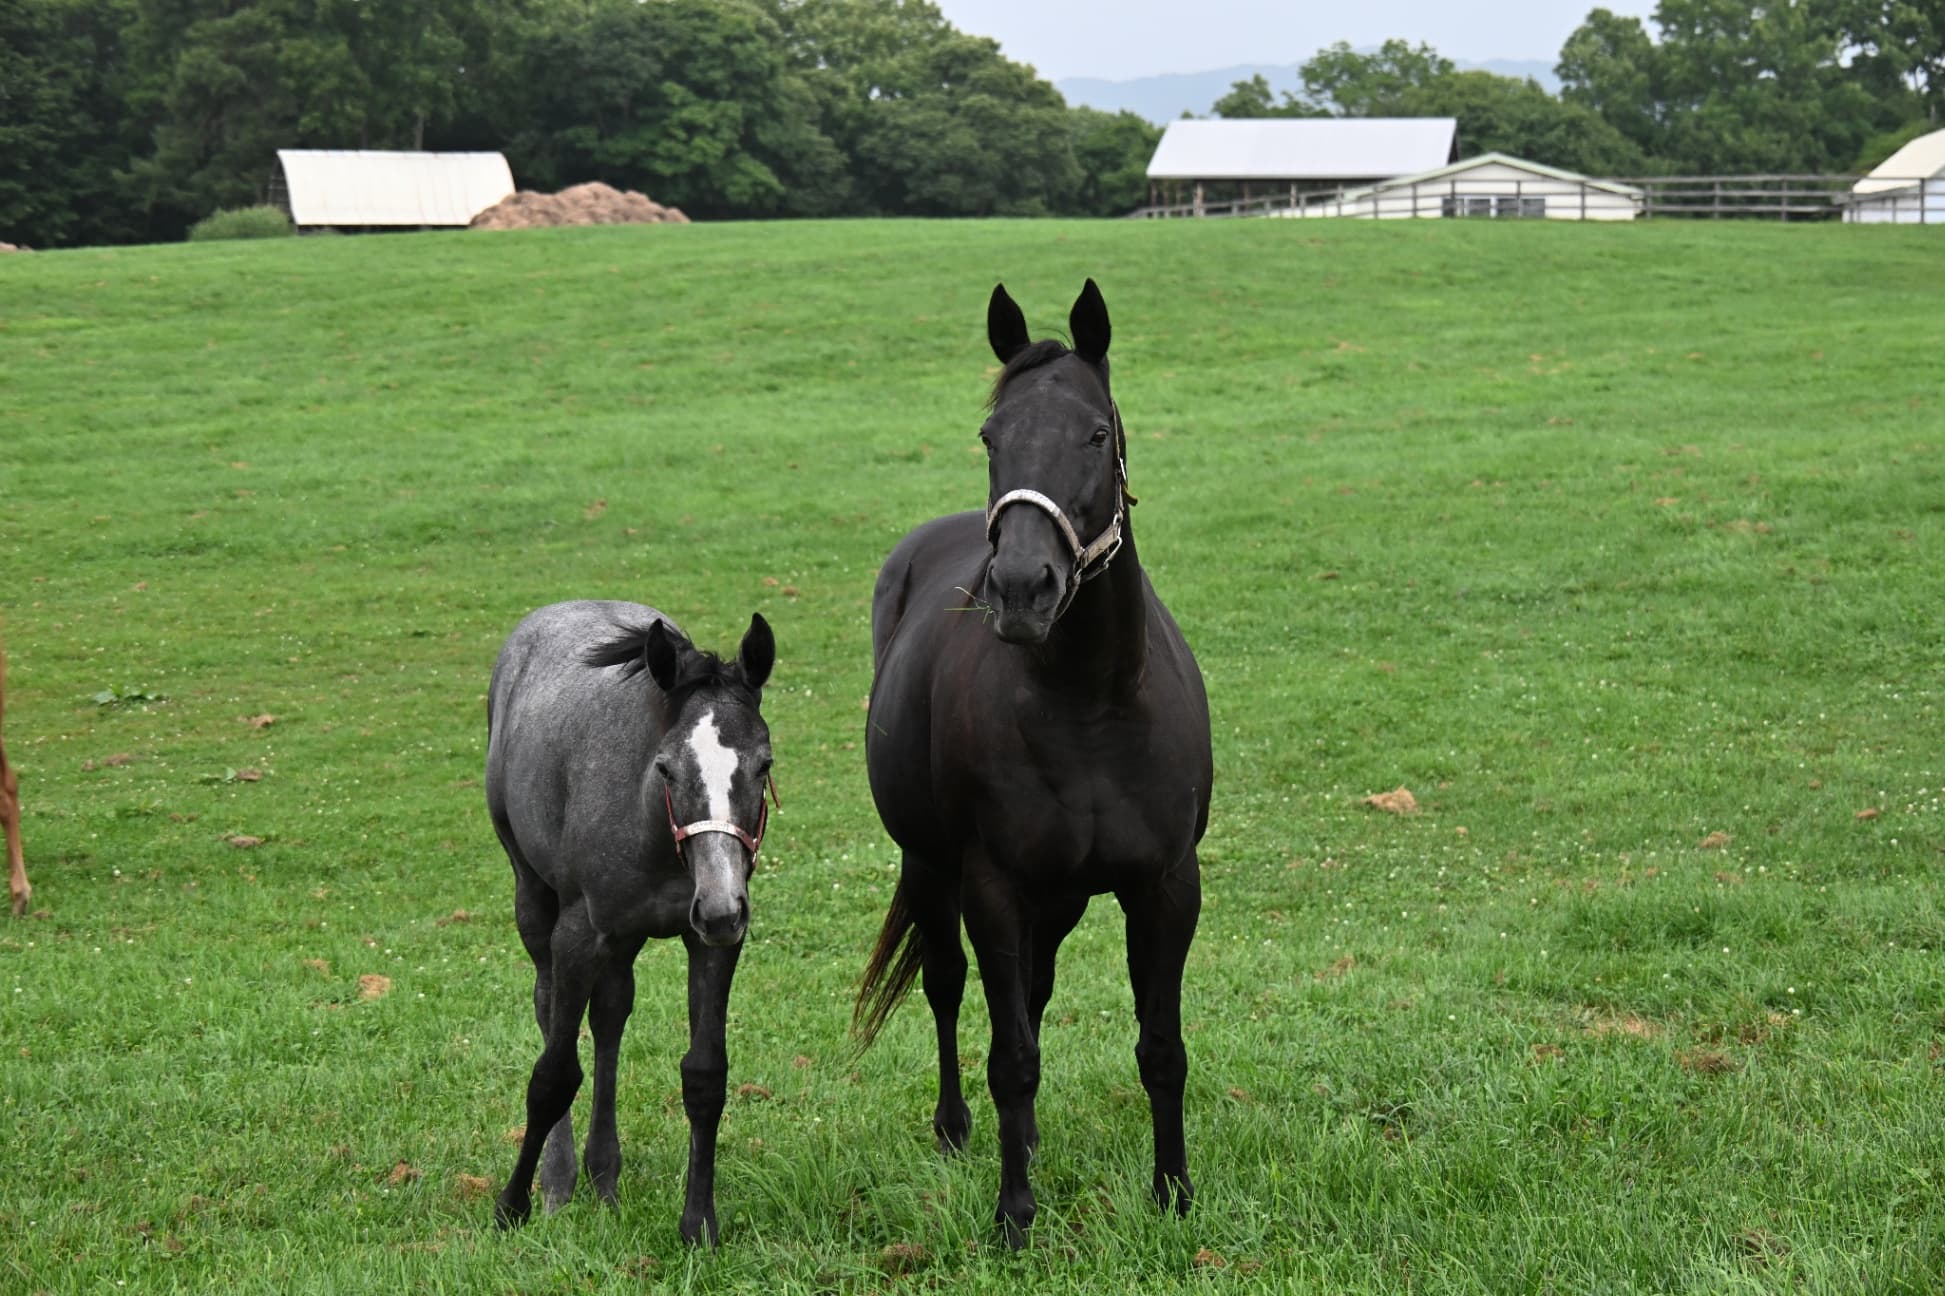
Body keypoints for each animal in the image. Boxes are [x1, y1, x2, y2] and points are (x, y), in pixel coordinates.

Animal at [485, 601, 776, 1245]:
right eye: (666, 768)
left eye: (764, 764)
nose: (722, 906)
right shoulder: (578, 934)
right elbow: (552, 1076)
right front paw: (512, 1205)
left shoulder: (711, 941)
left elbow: (704, 1076)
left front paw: (698, 1224)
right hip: (533, 896)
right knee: (550, 1006)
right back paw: (561, 1180)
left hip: (627, 937)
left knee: (610, 1014)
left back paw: (603, 1176)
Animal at [854, 279, 1213, 1244]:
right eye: (991, 435)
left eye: (1094, 434)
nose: (1020, 589)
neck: (1092, 705)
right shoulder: (991, 886)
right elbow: (1009, 1053)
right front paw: (1014, 1215)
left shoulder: (1166, 885)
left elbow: (1160, 1048)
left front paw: (1173, 1193)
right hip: (932, 866)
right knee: (948, 990)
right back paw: (956, 1129)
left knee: (1036, 993)